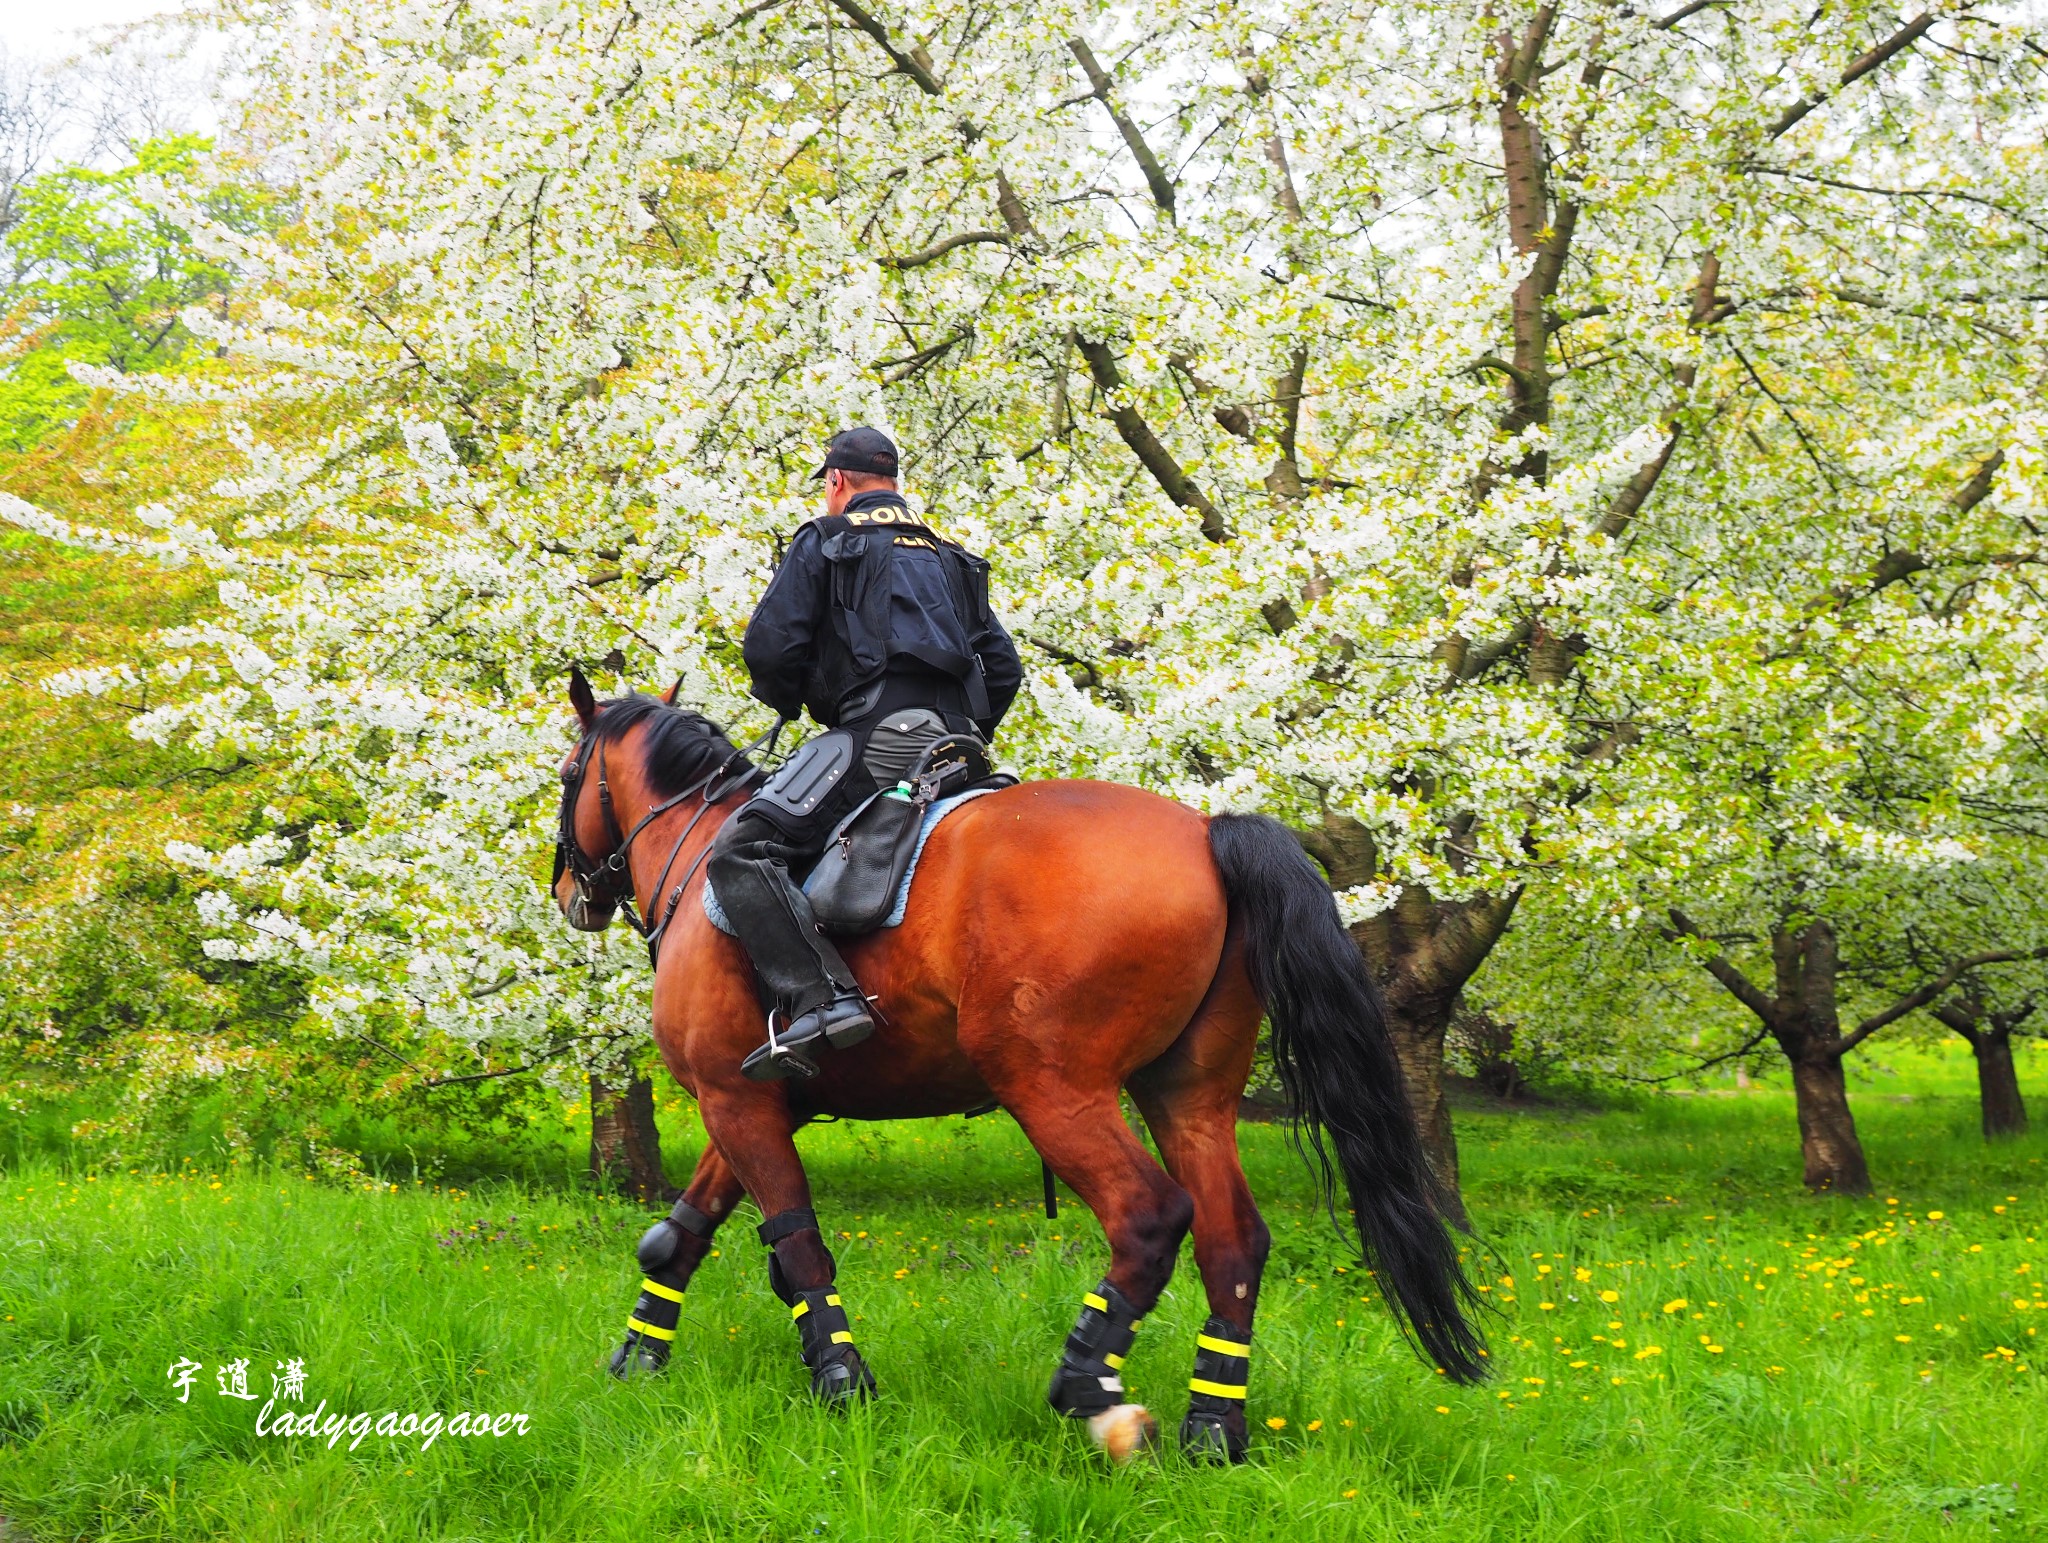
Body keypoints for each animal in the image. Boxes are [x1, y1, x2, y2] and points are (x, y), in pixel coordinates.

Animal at [552, 672, 1482, 1458]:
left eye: (566, 772)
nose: (569, 893)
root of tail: (1207, 830)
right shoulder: (754, 1100)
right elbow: (679, 1236)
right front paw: (639, 1360)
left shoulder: (732, 1097)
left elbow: (799, 1242)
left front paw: (842, 1380)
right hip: (1186, 1095)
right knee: (1233, 1243)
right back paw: (1213, 1426)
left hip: (1050, 1087)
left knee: (1149, 1217)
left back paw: (1093, 1389)